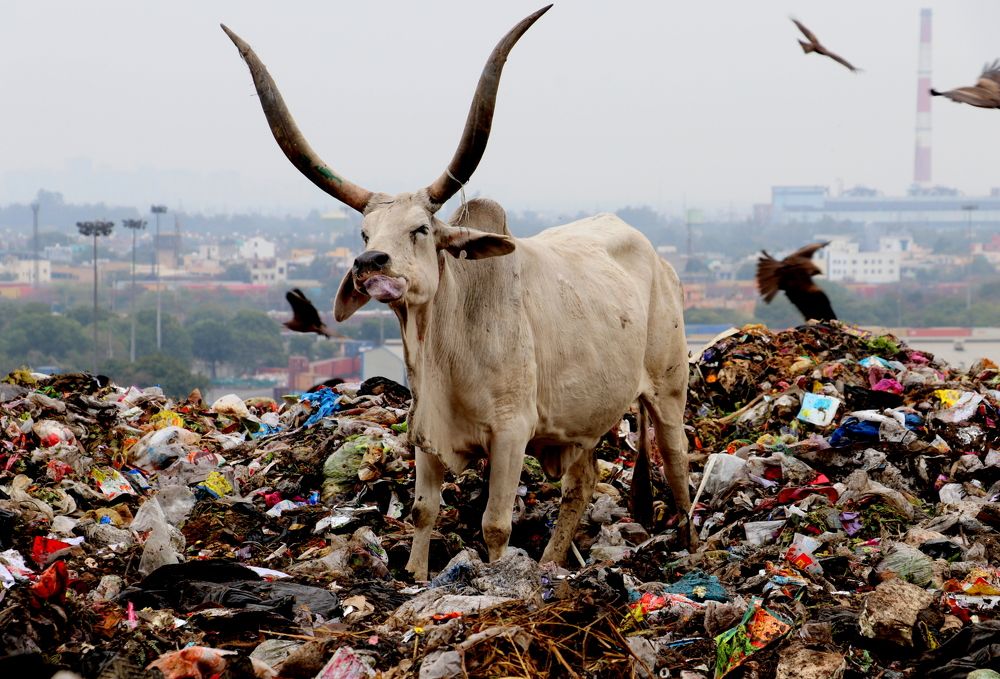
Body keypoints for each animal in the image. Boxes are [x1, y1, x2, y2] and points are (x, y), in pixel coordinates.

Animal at [223, 5, 692, 580]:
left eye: (421, 229)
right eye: (364, 233)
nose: (369, 265)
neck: (445, 341)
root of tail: (657, 258)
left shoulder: (512, 434)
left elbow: (495, 524)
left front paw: (493, 580)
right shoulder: (427, 433)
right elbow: (424, 510)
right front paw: (417, 577)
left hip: (667, 390)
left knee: (677, 467)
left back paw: (690, 547)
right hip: (581, 421)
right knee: (581, 487)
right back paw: (550, 566)